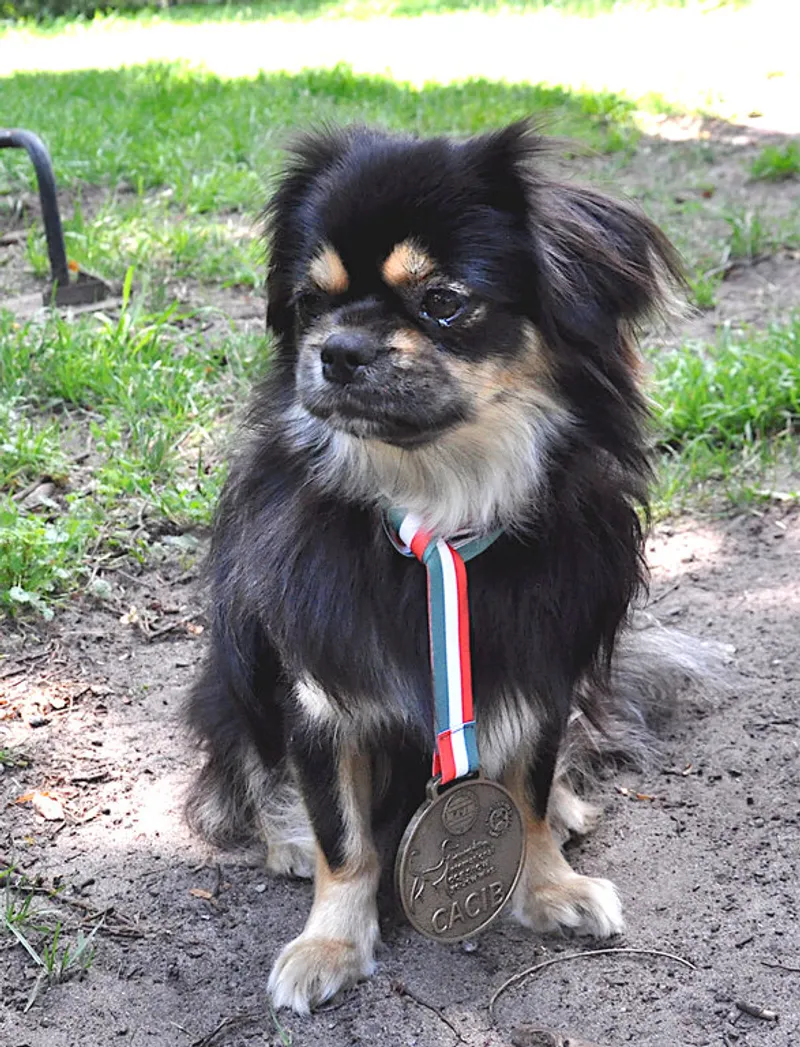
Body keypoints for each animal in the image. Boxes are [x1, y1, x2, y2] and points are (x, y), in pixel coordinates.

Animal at [185, 121, 705, 1014]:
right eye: (311, 302)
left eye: (443, 302)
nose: (338, 349)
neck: (439, 505)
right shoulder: (321, 697)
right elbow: (345, 836)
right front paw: (331, 942)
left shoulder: (537, 677)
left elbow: (525, 795)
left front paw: (549, 885)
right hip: (234, 676)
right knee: (251, 772)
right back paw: (283, 835)